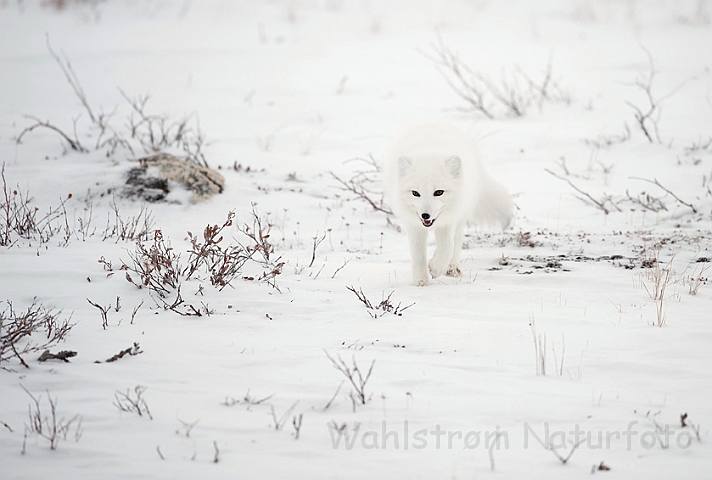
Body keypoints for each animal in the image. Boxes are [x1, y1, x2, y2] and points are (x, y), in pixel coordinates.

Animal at [384, 122, 512, 284]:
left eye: (439, 192)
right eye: (415, 193)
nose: (425, 215)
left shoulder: (449, 220)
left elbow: (447, 245)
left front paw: (436, 268)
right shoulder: (413, 224)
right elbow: (418, 254)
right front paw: (420, 281)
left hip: (462, 212)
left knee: (456, 241)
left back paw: (452, 267)